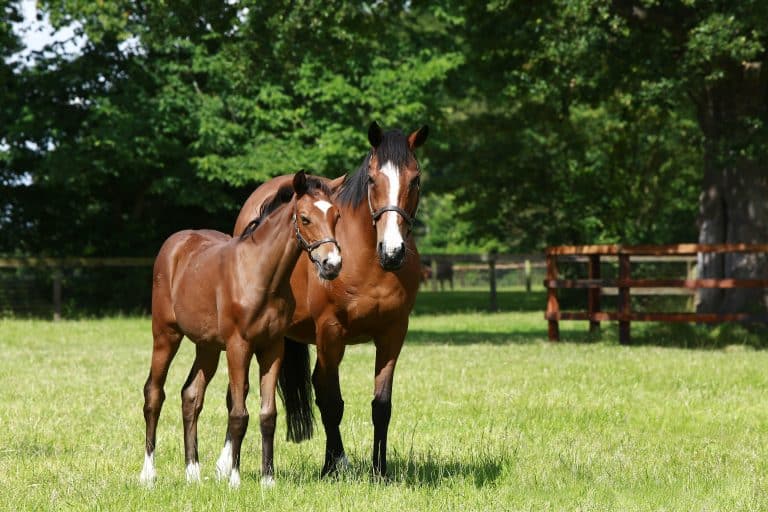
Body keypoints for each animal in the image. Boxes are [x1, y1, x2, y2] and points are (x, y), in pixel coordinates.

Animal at [139, 171, 342, 488]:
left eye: (336, 216)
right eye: (305, 218)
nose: (332, 264)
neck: (260, 275)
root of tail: (175, 243)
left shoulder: (273, 348)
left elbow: (268, 414)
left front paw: (268, 480)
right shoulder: (239, 346)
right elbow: (238, 413)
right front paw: (234, 479)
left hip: (208, 347)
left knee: (191, 395)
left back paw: (193, 473)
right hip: (165, 335)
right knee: (153, 394)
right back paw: (148, 474)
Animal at [226, 122, 428, 479]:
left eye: (415, 179)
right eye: (372, 179)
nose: (392, 252)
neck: (368, 261)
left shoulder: (393, 334)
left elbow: (381, 405)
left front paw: (379, 470)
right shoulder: (330, 332)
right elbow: (331, 402)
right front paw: (332, 467)